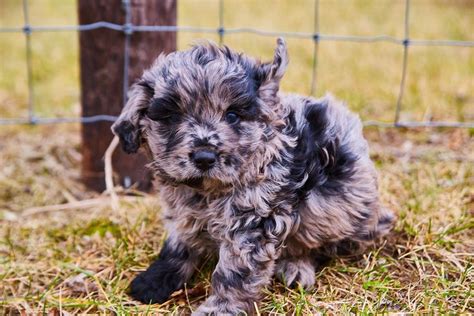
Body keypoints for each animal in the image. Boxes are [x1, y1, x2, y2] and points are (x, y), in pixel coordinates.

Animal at [111, 38, 392, 314]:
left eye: (232, 115)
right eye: (172, 116)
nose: (204, 157)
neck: (207, 191)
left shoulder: (253, 222)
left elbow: (235, 273)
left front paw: (220, 309)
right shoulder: (182, 211)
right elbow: (178, 245)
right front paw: (156, 280)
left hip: (341, 211)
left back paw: (297, 266)